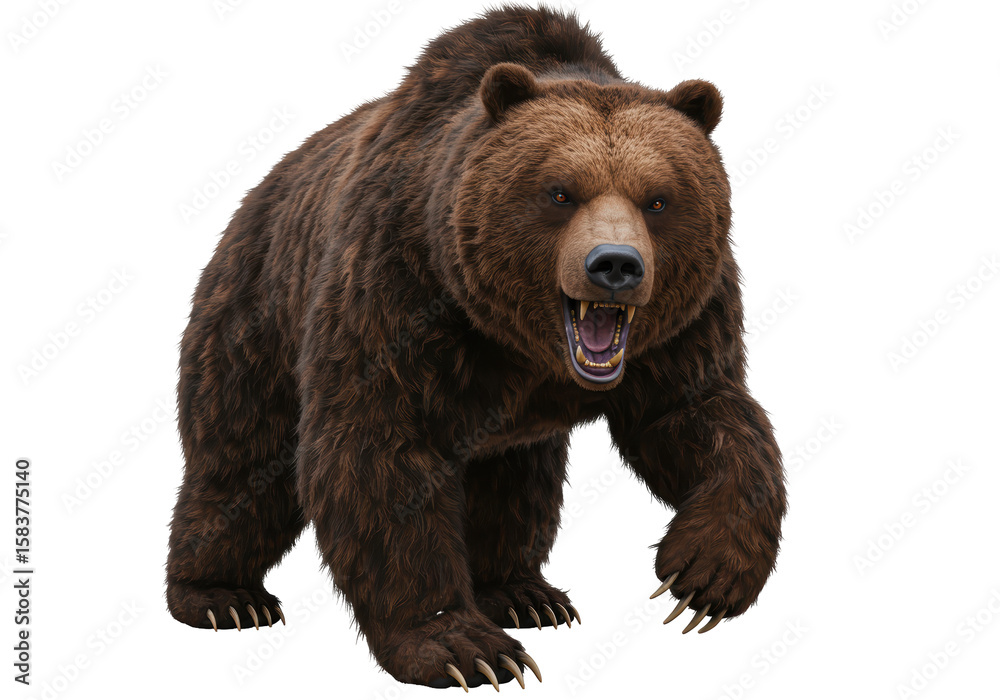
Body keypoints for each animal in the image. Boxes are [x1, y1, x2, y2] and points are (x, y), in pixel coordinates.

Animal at [166, 4, 786, 691]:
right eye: (560, 192)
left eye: (658, 198)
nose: (616, 266)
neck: (523, 344)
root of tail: (261, 190)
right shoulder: (399, 285)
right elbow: (381, 452)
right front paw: (461, 646)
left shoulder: (684, 328)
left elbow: (698, 416)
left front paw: (704, 576)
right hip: (258, 311)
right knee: (243, 458)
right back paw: (223, 596)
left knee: (517, 484)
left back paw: (521, 593)